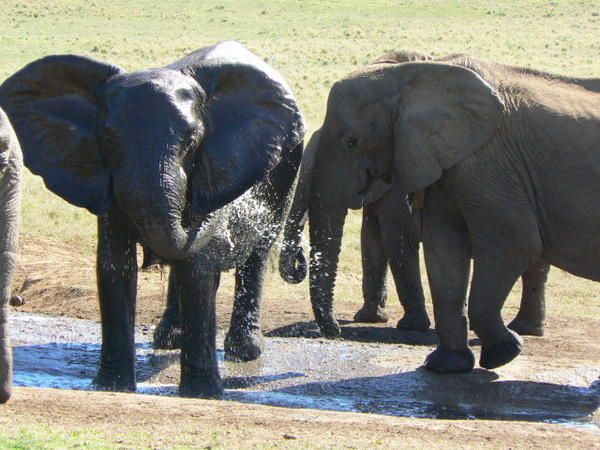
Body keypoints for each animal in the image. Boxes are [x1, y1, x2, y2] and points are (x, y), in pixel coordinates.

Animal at [282, 53, 600, 372]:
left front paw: (501, 353)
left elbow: (513, 244)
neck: (414, 76)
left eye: (352, 142)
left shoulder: (483, 165)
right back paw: (525, 329)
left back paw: (521, 333)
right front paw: (445, 365)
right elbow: (440, 250)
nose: (333, 331)